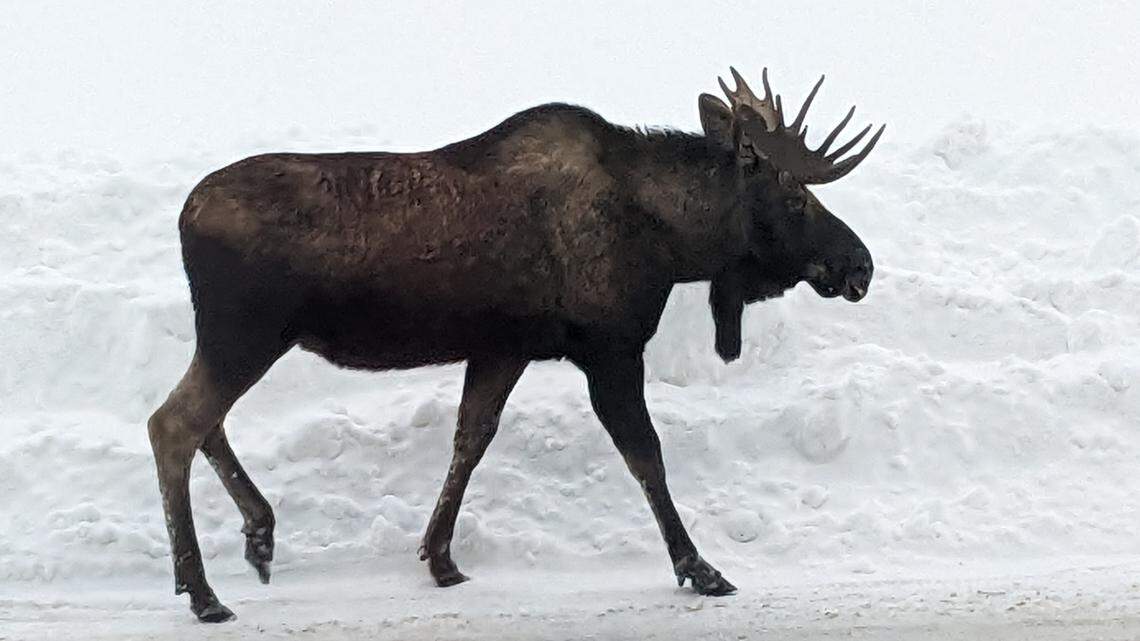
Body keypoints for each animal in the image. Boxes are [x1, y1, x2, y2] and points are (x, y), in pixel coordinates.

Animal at [147, 67, 883, 622]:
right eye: (794, 197)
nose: (861, 264)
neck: (674, 246)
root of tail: (183, 215)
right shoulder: (609, 347)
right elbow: (646, 456)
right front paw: (700, 567)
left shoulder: (503, 347)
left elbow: (471, 438)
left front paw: (441, 557)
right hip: (244, 333)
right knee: (173, 423)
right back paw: (204, 590)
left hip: (237, 339)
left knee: (204, 422)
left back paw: (257, 536)